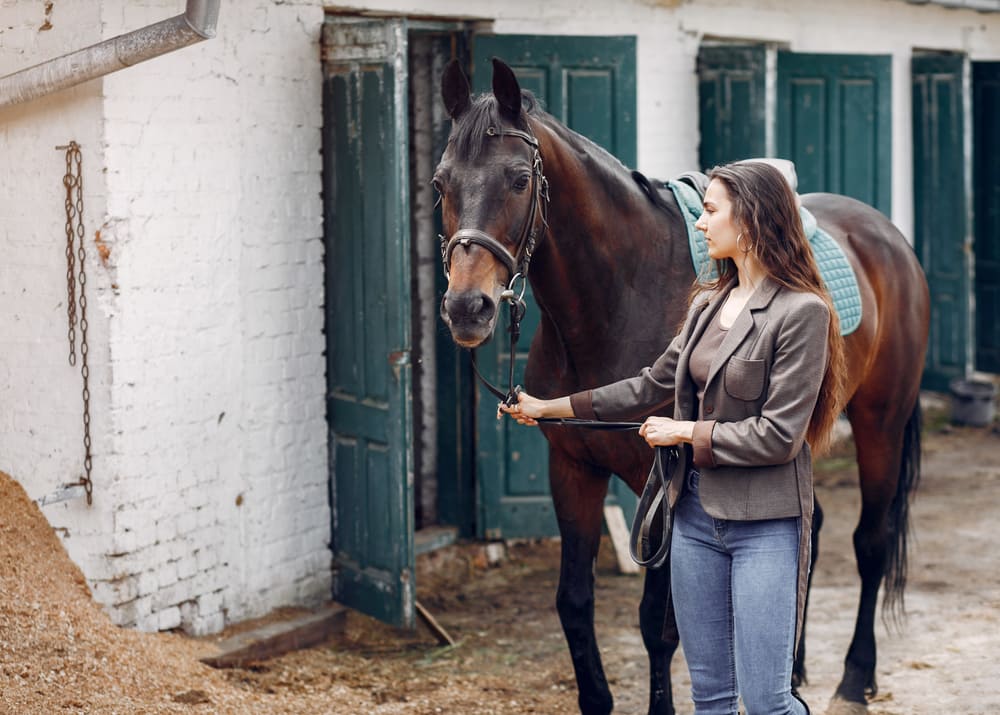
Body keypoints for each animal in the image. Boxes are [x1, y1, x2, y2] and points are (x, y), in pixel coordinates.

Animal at [436, 57, 928, 715]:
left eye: (518, 180)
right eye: (440, 183)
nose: (468, 308)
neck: (619, 296)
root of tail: (889, 238)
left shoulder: (665, 475)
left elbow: (658, 624)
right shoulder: (573, 472)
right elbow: (574, 603)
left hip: (880, 425)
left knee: (871, 541)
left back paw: (854, 679)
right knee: (808, 532)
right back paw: (792, 672)